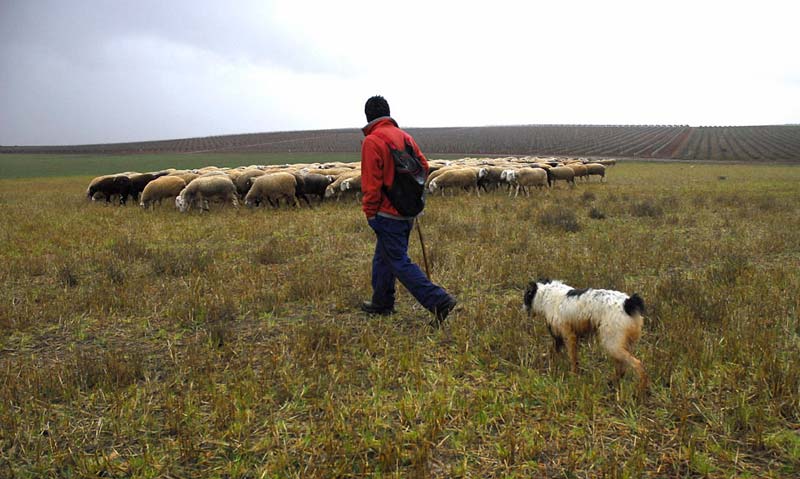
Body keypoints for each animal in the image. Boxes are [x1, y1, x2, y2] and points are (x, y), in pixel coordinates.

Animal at [520, 280, 648, 392]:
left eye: (525, 297)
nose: (522, 308)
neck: (545, 294)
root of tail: (629, 303)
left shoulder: (569, 336)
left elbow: (573, 359)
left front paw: (573, 375)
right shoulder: (558, 338)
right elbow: (552, 353)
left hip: (612, 344)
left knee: (638, 365)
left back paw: (640, 390)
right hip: (621, 345)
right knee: (622, 368)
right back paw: (612, 384)